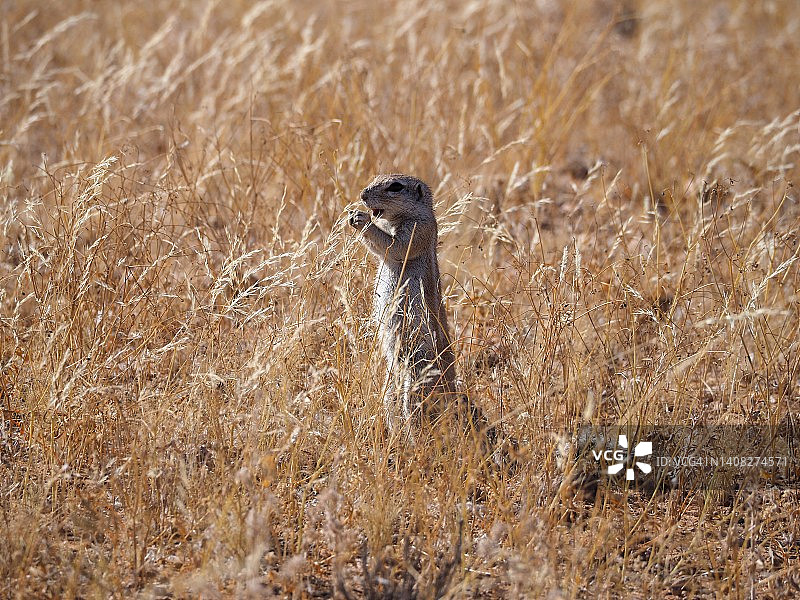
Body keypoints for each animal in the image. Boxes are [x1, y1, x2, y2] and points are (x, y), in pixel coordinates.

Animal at [348, 173, 456, 426]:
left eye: (395, 187)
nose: (362, 195)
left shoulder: (419, 230)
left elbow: (394, 247)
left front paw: (361, 218)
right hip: (391, 383)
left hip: (416, 378)